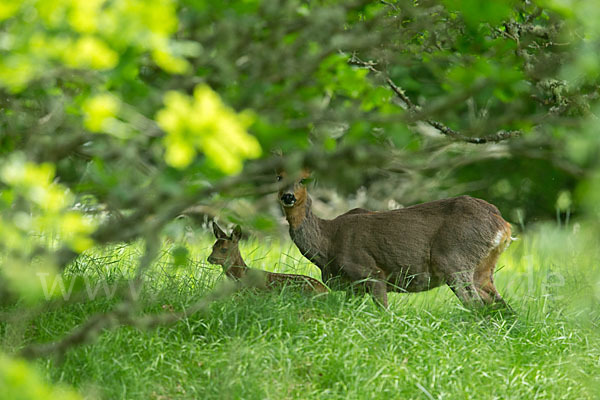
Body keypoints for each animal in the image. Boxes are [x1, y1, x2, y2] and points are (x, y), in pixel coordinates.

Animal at [276, 170, 510, 308]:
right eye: (278, 177)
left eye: (302, 180)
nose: (288, 196)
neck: (328, 242)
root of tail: (502, 224)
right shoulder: (353, 286)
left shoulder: (372, 273)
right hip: (482, 269)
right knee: (501, 307)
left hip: (454, 259)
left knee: (476, 305)